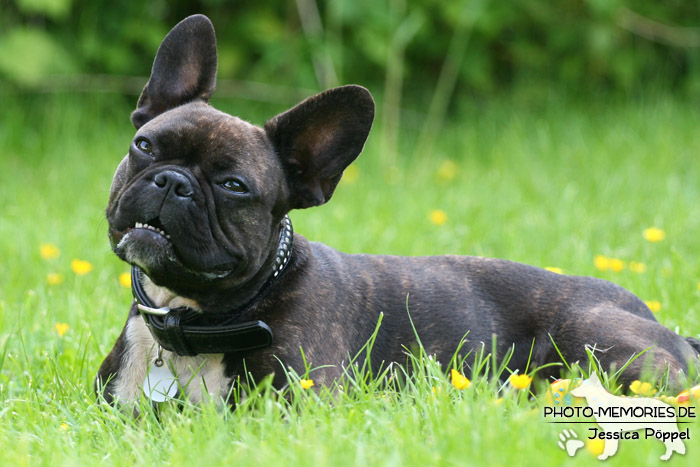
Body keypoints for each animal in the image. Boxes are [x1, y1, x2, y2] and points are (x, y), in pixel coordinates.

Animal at [95, 15, 696, 406]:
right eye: (145, 146)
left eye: (234, 185)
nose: (172, 182)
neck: (191, 317)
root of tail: (658, 323)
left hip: (599, 342)